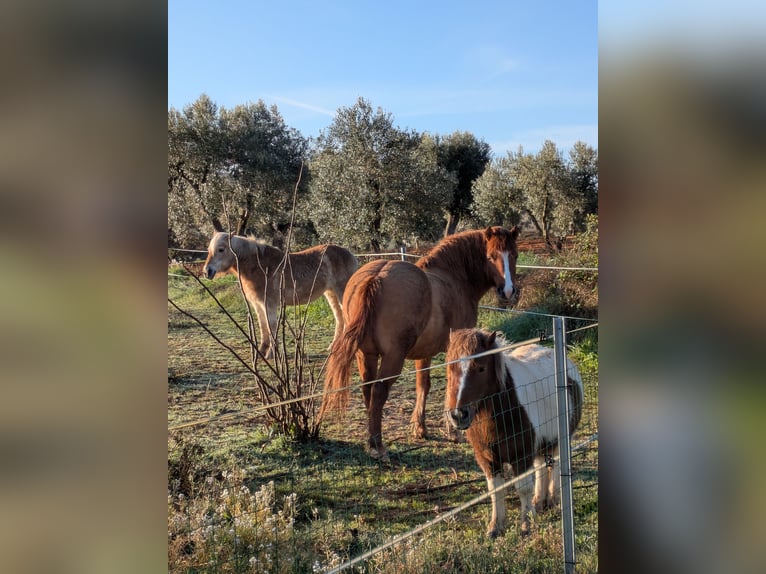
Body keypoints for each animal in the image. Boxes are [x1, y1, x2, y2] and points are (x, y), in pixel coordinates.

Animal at [202, 232, 358, 359]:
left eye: (221, 249)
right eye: (209, 250)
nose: (206, 271)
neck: (260, 266)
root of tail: (350, 255)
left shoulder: (269, 305)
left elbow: (271, 328)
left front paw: (271, 354)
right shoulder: (258, 305)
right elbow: (263, 328)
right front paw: (261, 352)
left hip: (340, 293)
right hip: (331, 294)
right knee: (340, 319)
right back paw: (334, 347)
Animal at [319, 226, 520, 462]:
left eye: (514, 254)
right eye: (491, 256)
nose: (508, 291)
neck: (453, 277)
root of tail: (375, 277)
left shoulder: (424, 353)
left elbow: (423, 385)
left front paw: (420, 428)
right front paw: (452, 431)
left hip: (366, 354)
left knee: (368, 389)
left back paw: (371, 440)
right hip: (392, 357)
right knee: (378, 391)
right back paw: (378, 446)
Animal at [444, 328, 583, 538]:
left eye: (481, 368)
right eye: (450, 368)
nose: (458, 415)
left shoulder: (521, 455)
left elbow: (523, 488)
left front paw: (526, 525)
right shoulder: (487, 459)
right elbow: (495, 490)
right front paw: (496, 527)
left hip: (561, 439)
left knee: (556, 466)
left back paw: (553, 500)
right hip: (540, 445)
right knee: (541, 467)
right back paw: (539, 502)